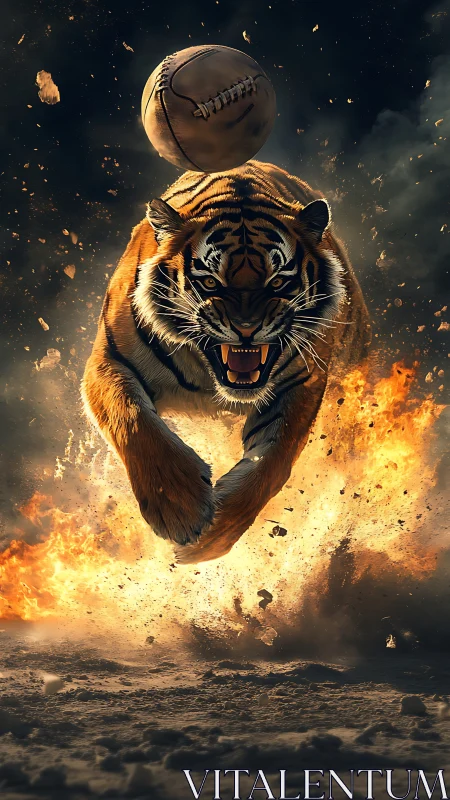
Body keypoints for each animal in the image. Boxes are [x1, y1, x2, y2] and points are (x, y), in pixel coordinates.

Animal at [82, 160, 371, 564]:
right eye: (210, 282)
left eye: (278, 281)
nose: (246, 328)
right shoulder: (109, 360)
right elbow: (133, 421)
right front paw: (180, 509)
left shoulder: (303, 383)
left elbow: (271, 464)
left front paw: (207, 542)